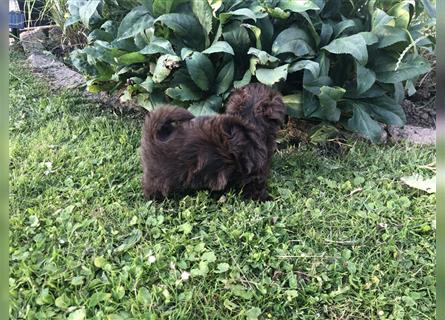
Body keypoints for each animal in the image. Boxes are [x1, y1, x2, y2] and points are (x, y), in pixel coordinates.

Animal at [140, 82, 284, 200]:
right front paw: (265, 198)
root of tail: (154, 133)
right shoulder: (255, 171)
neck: (250, 118)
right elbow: (256, 186)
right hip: (161, 173)